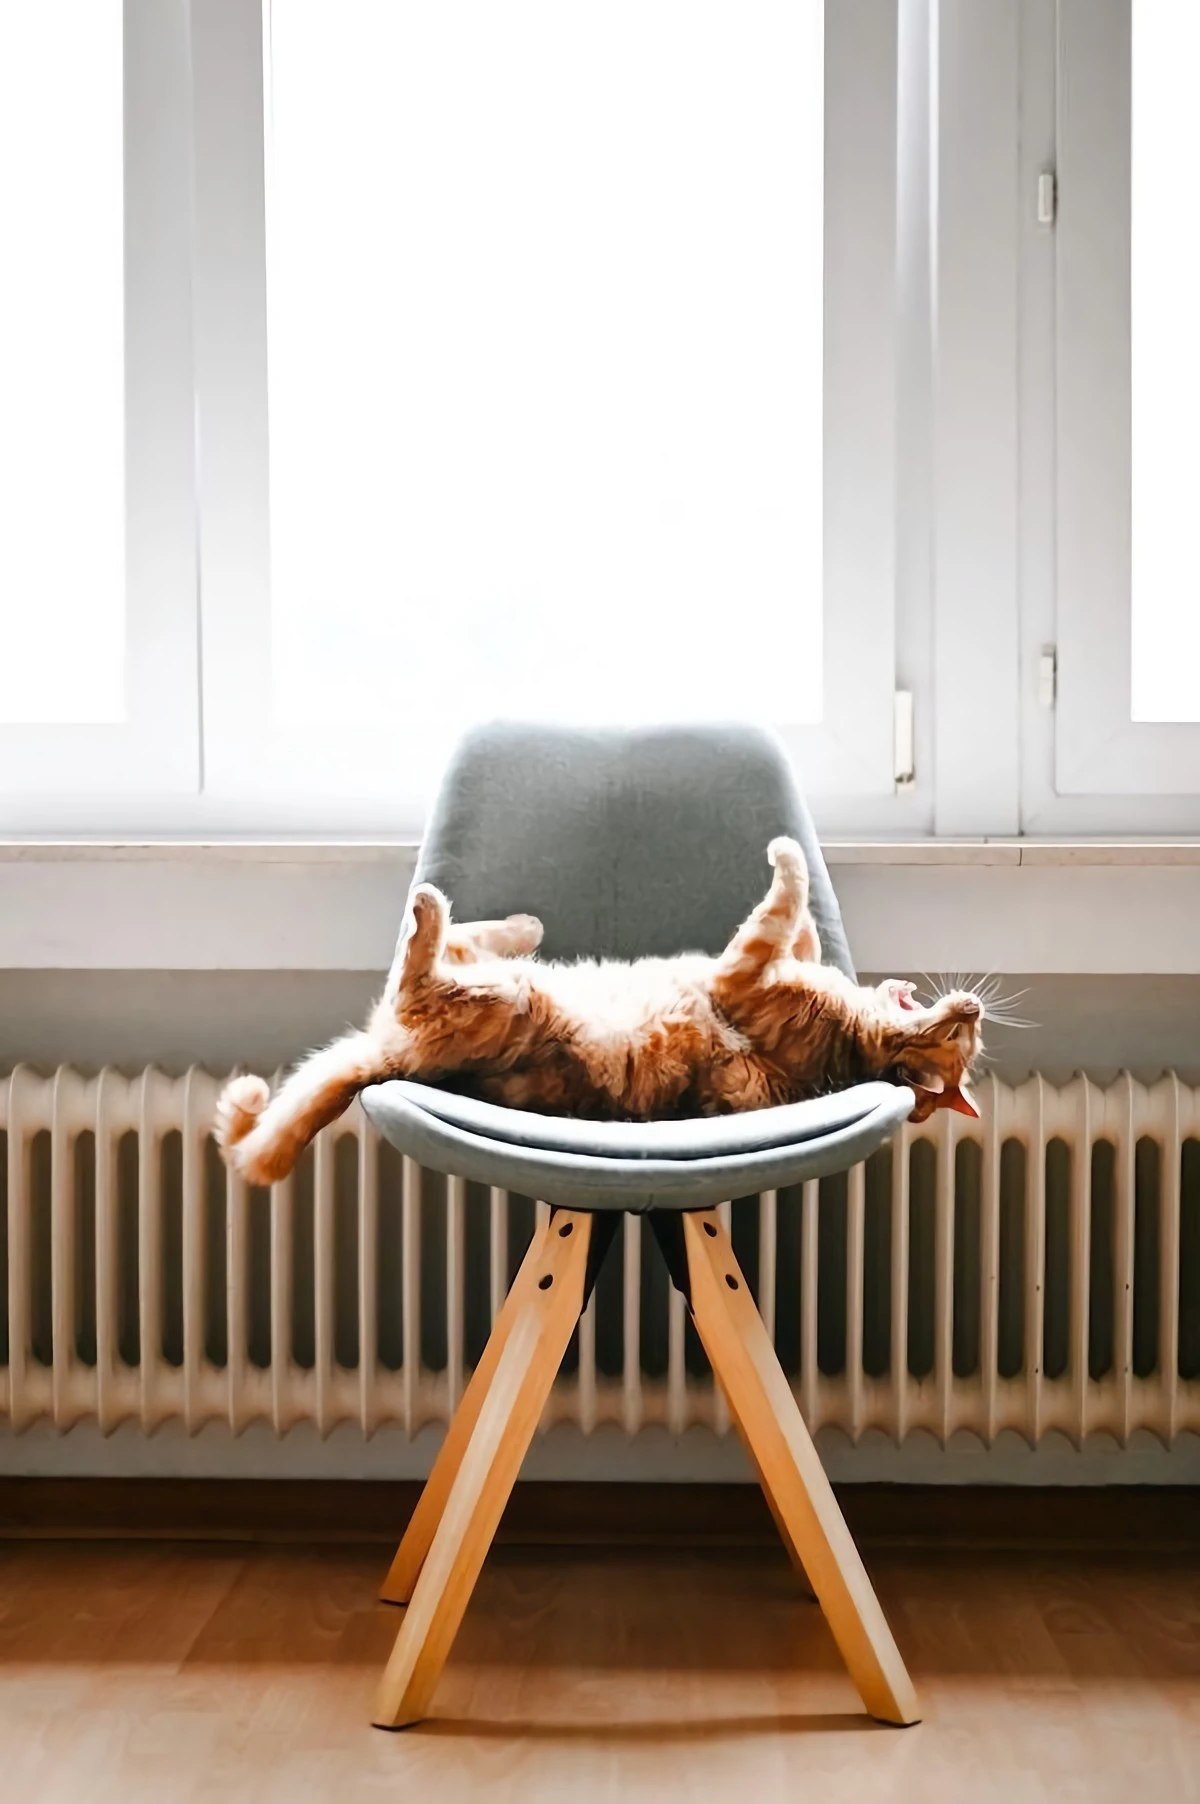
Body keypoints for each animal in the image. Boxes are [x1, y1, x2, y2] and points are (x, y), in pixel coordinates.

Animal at [217, 829, 981, 1183]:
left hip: (502, 998)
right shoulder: (775, 961)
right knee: (463, 943)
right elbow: (804, 926)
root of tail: (391, 1060)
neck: (854, 1048)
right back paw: (520, 924)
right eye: (963, 1037)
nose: (973, 1007)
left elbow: (786, 891)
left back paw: (434, 909)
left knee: (419, 965)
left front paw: (784, 850)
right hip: (498, 981)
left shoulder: (745, 971)